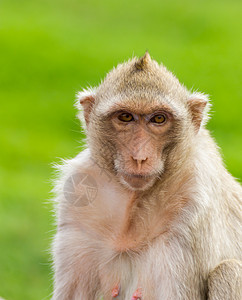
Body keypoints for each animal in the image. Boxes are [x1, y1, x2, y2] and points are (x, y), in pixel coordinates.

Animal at [52, 54, 241, 300]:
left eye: (159, 119)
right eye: (125, 117)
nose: (139, 157)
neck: (136, 199)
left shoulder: (193, 208)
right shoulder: (77, 195)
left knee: (228, 270)